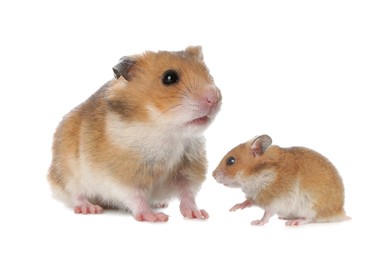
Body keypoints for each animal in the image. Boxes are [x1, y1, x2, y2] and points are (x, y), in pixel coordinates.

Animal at [47, 46, 221, 221]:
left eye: (208, 73)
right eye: (169, 77)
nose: (214, 98)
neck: (167, 132)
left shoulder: (187, 169)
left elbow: (187, 193)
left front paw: (198, 214)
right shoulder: (121, 175)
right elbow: (135, 196)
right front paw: (156, 217)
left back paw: (160, 203)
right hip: (67, 174)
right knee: (75, 194)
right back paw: (89, 208)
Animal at [213, 134, 350, 225]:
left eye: (231, 161)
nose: (212, 175)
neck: (257, 174)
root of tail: (340, 211)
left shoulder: (275, 200)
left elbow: (267, 213)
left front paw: (257, 222)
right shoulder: (255, 196)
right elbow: (248, 201)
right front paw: (234, 208)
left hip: (311, 205)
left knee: (310, 218)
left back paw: (293, 222)